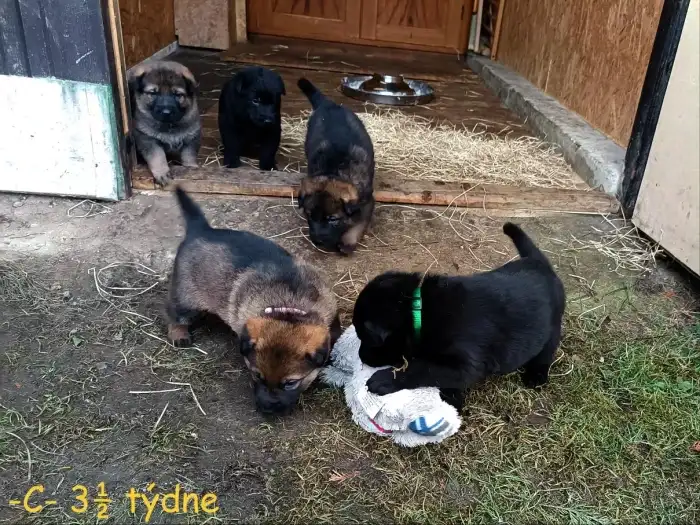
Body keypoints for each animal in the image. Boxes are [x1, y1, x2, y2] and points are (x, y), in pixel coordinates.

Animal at [166, 187, 340, 415]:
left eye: (290, 383)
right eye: (257, 375)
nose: (268, 409)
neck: (288, 308)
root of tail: (200, 229)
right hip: (186, 298)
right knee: (174, 313)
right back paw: (179, 333)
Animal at [297, 78, 375, 255]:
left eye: (332, 219)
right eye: (309, 215)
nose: (317, 240)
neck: (336, 170)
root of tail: (329, 104)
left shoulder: (367, 202)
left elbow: (358, 224)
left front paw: (348, 241)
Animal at [352, 223, 566, 409]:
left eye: (366, 338)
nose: (361, 357)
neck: (419, 310)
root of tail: (538, 261)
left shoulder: (464, 364)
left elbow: (421, 369)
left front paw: (386, 379)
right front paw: (453, 397)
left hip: (553, 326)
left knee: (546, 352)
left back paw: (536, 375)